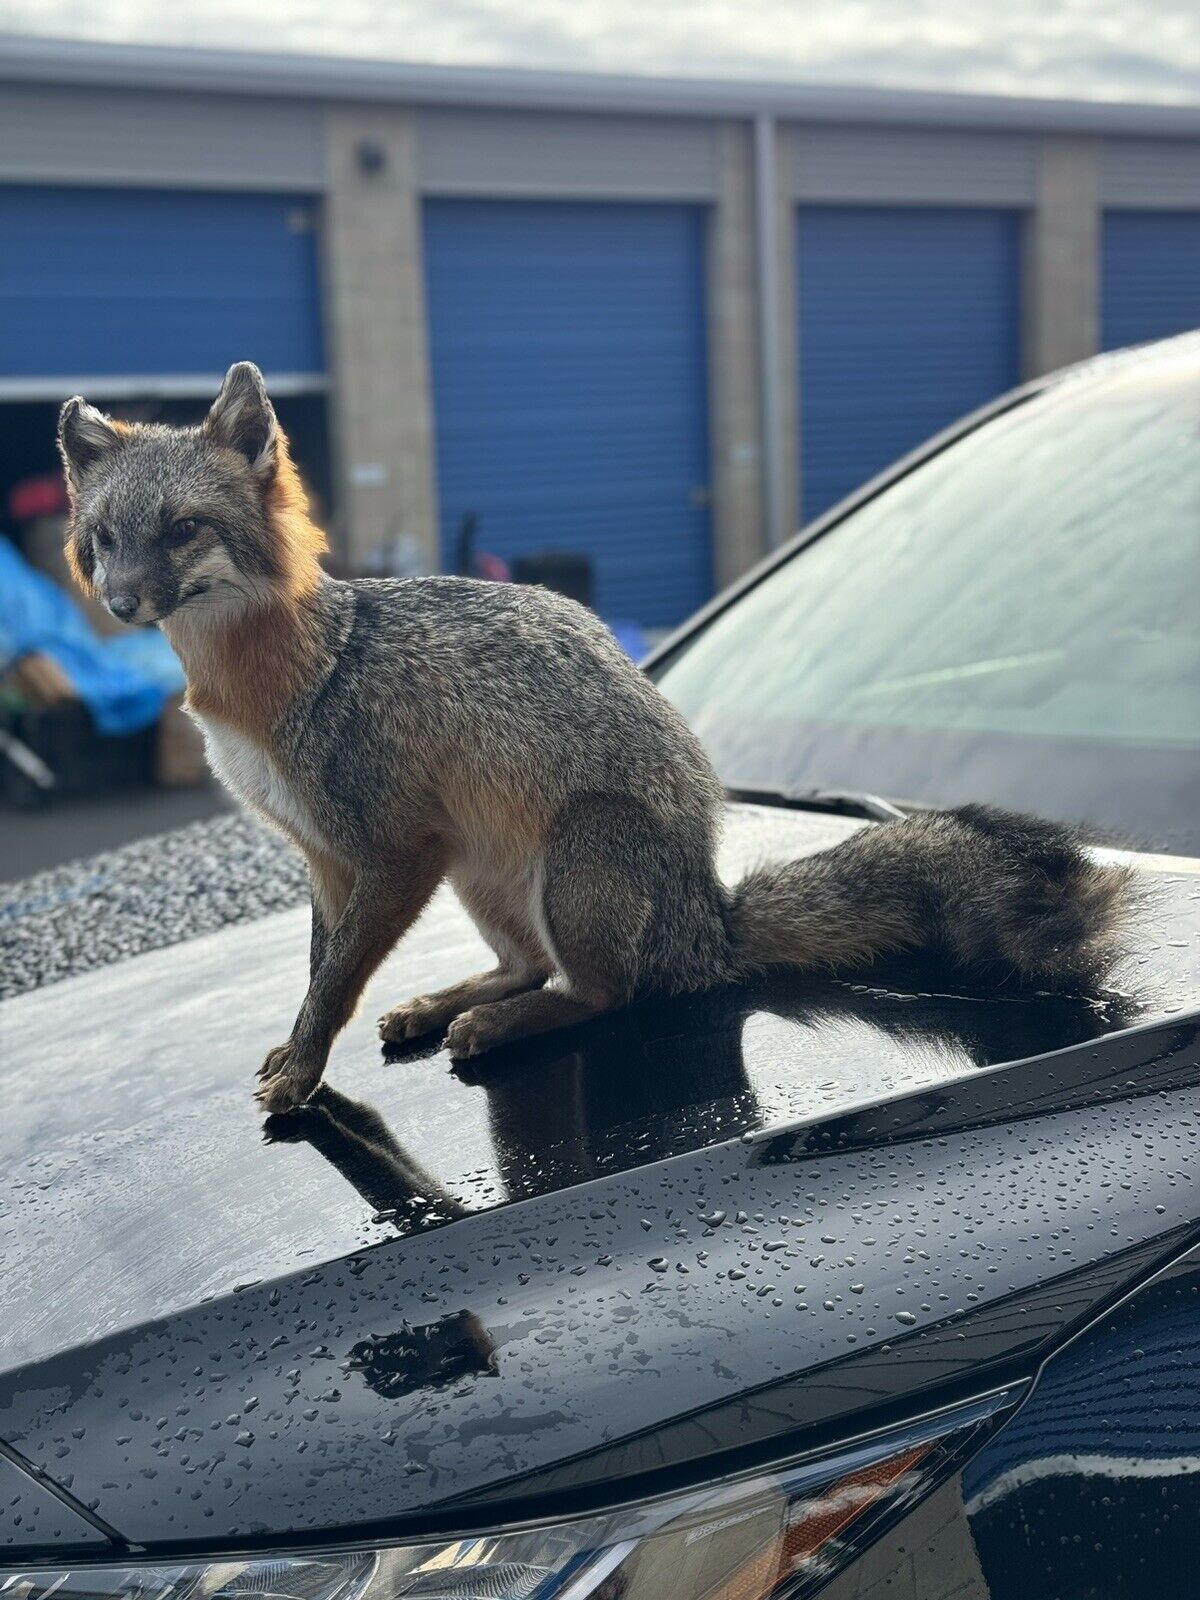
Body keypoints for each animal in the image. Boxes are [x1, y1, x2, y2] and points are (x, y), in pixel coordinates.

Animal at [54, 361, 1126, 1113]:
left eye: (183, 530)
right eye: (105, 539)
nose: (119, 602)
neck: (283, 676)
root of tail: (708, 917)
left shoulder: (395, 852)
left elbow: (338, 979)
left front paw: (304, 1072)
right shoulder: (326, 856)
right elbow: (323, 967)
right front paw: (300, 1047)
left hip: (571, 854)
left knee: (606, 993)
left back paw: (501, 1023)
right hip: (483, 871)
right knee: (534, 963)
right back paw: (454, 1003)